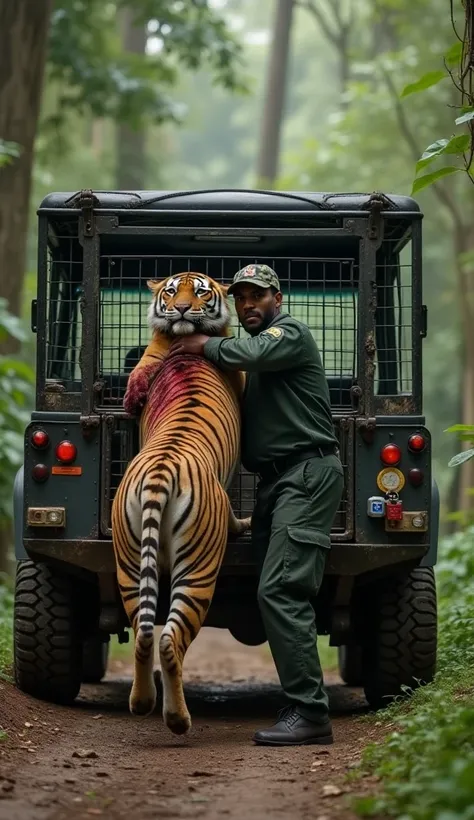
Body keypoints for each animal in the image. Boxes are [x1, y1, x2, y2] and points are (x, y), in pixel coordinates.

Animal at [112, 270, 252, 736]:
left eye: (201, 291)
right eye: (172, 291)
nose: (183, 309)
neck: (179, 343)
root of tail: (160, 471)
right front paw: (242, 523)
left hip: (128, 561)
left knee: (143, 631)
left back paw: (141, 702)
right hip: (200, 570)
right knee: (171, 639)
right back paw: (177, 718)